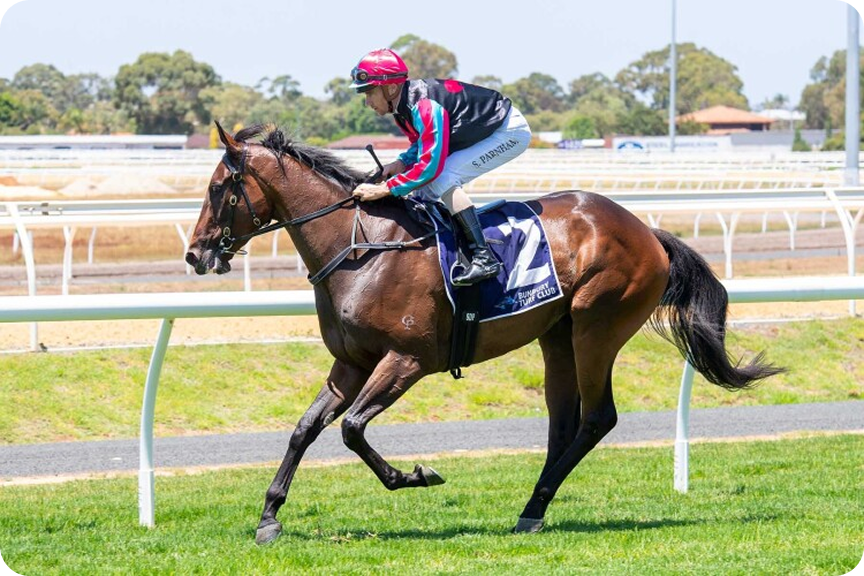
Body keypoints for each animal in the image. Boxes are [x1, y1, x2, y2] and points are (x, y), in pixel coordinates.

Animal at [185, 123, 782, 544]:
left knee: (597, 418)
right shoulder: (350, 364)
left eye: (217, 189)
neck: (361, 247)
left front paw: (417, 475)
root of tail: (648, 231)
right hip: (557, 336)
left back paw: (533, 506)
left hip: (598, 326)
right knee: (563, 423)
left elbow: (352, 429)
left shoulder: (406, 360)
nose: (194, 254)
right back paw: (534, 507)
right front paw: (268, 517)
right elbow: (304, 429)